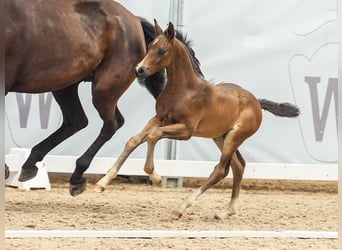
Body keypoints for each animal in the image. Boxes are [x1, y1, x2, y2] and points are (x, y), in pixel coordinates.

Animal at [5, 0, 166, 195]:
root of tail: (134, 20)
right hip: (65, 84)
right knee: (77, 120)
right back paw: (30, 165)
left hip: (104, 89)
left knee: (111, 123)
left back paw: (77, 176)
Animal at [94, 20, 300, 219]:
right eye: (150, 46)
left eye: (162, 50)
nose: (140, 70)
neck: (182, 90)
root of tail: (256, 102)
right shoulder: (159, 118)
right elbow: (134, 140)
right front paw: (102, 183)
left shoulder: (186, 130)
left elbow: (153, 135)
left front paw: (156, 177)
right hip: (221, 137)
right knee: (238, 166)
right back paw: (227, 211)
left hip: (235, 137)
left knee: (221, 170)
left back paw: (181, 208)